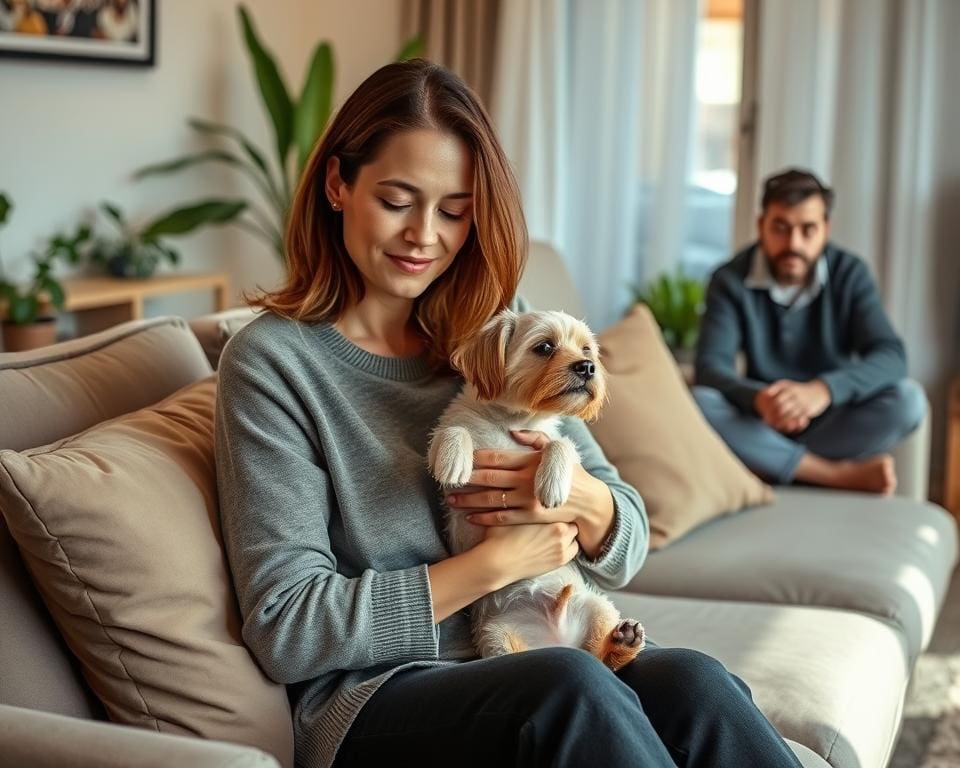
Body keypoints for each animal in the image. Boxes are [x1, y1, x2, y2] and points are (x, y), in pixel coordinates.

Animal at [430, 308, 644, 668]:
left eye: (586, 350)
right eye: (544, 347)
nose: (587, 366)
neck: (515, 420)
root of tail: (560, 639)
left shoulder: (559, 444)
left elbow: (561, 443)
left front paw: (552, 481)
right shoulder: (445, 449)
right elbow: (454, 429)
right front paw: (453, 458)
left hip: (596, 605)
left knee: (604, 657)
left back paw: (624, 640)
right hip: (497, 636)